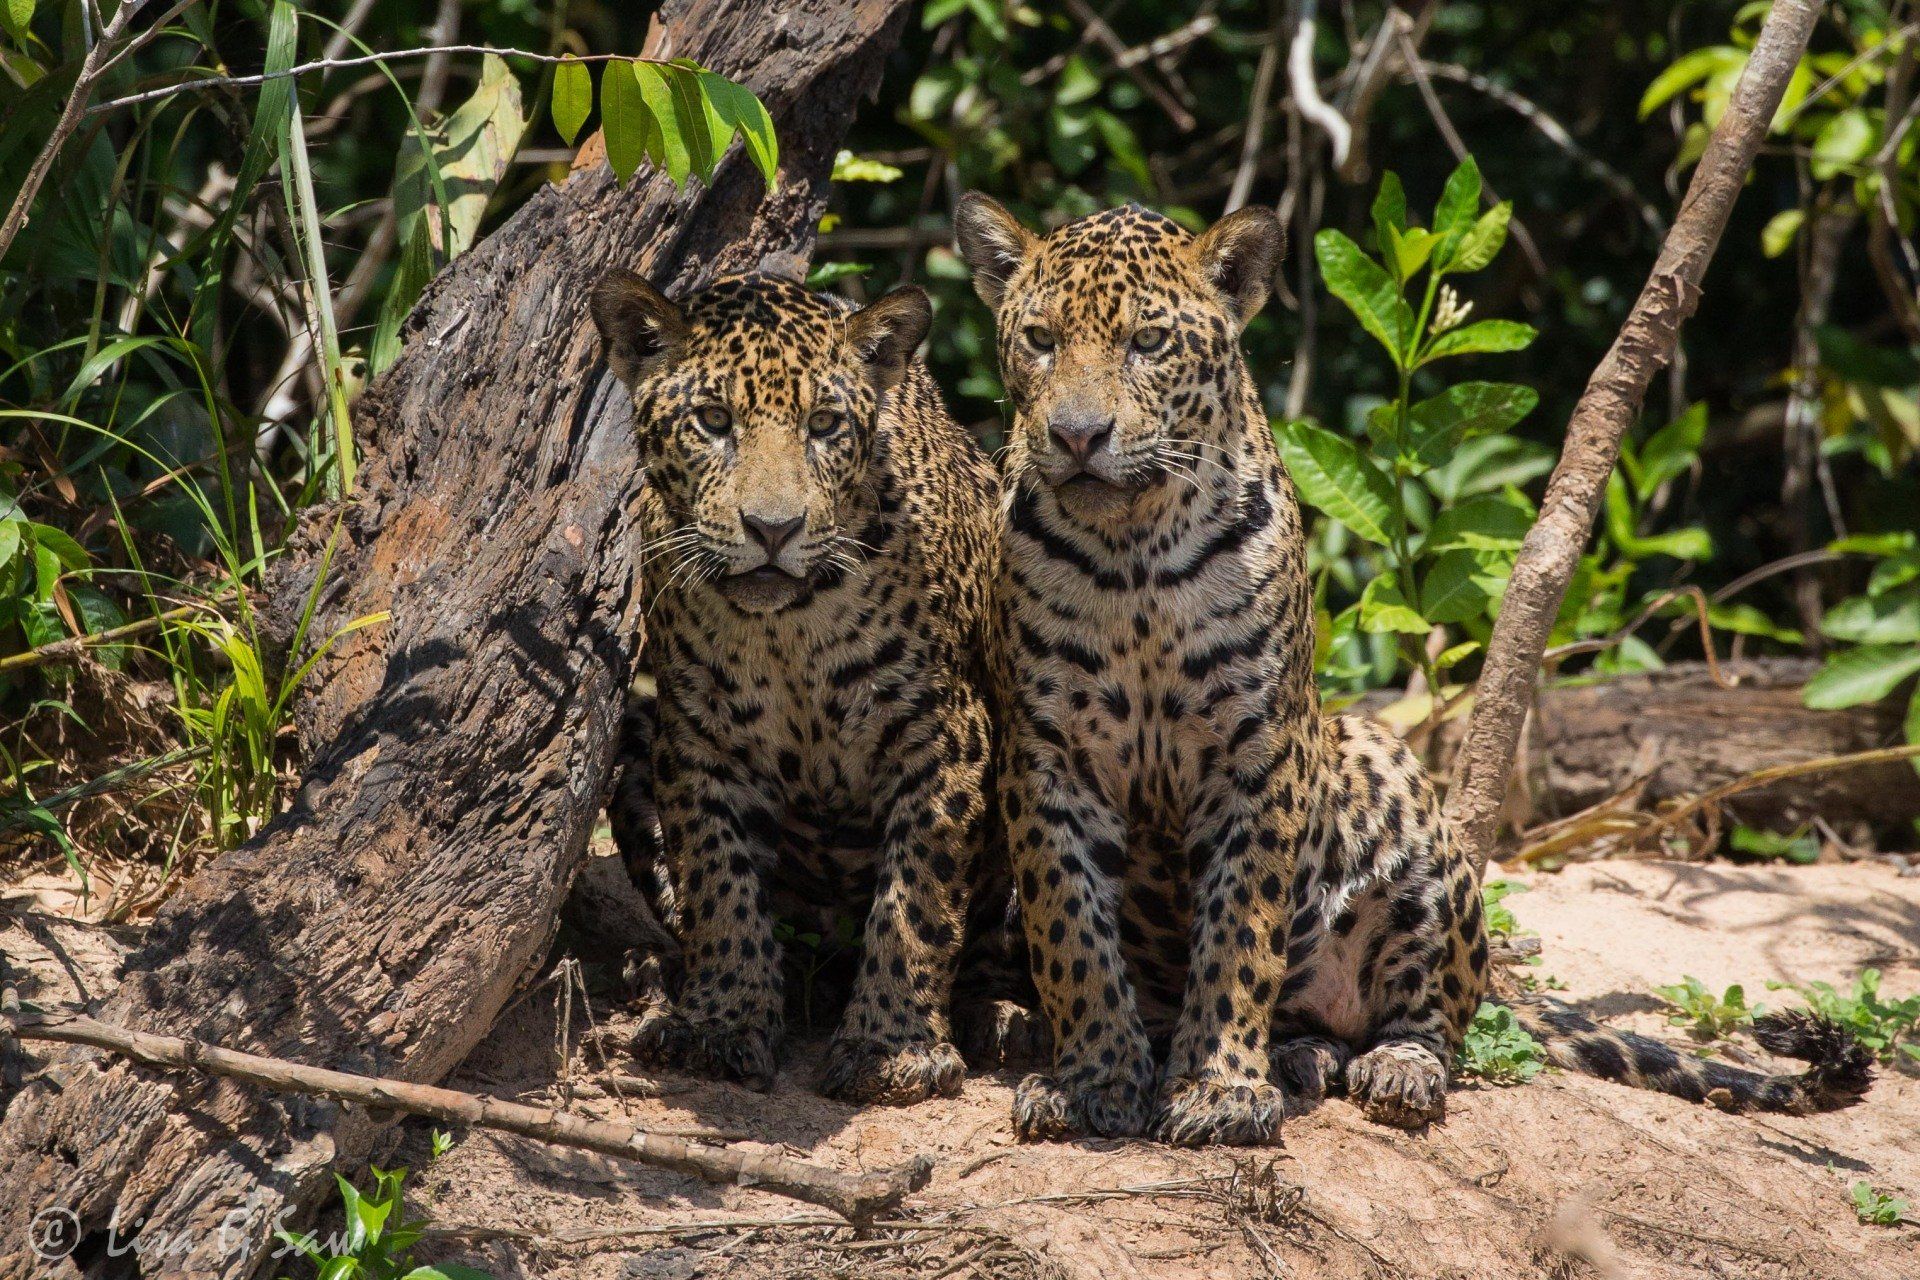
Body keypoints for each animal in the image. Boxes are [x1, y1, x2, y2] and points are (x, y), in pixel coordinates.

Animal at [589, 269, 1029, 1107]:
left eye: (825, 425)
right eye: (713, 420)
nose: (772, 529)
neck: (789, 628)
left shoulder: (944, 735)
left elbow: (917, 900)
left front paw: (892, 1048)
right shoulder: (700, 739)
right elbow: (719, 881)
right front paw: (720, 1022)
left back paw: (999, 1016)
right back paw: (664, 979)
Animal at [953, 195, 1874, 1144]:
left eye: (1147, 342)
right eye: (1040, 339)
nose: (1076, 435)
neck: (1131, 551)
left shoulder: (1259, 750)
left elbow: (1240, 932)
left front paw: (1218, 1086)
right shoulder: (1047, 756)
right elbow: (1073, 929)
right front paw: (1094, 1078)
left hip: (1387, 771)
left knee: (1432, 1020)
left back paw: (1386, 1068)